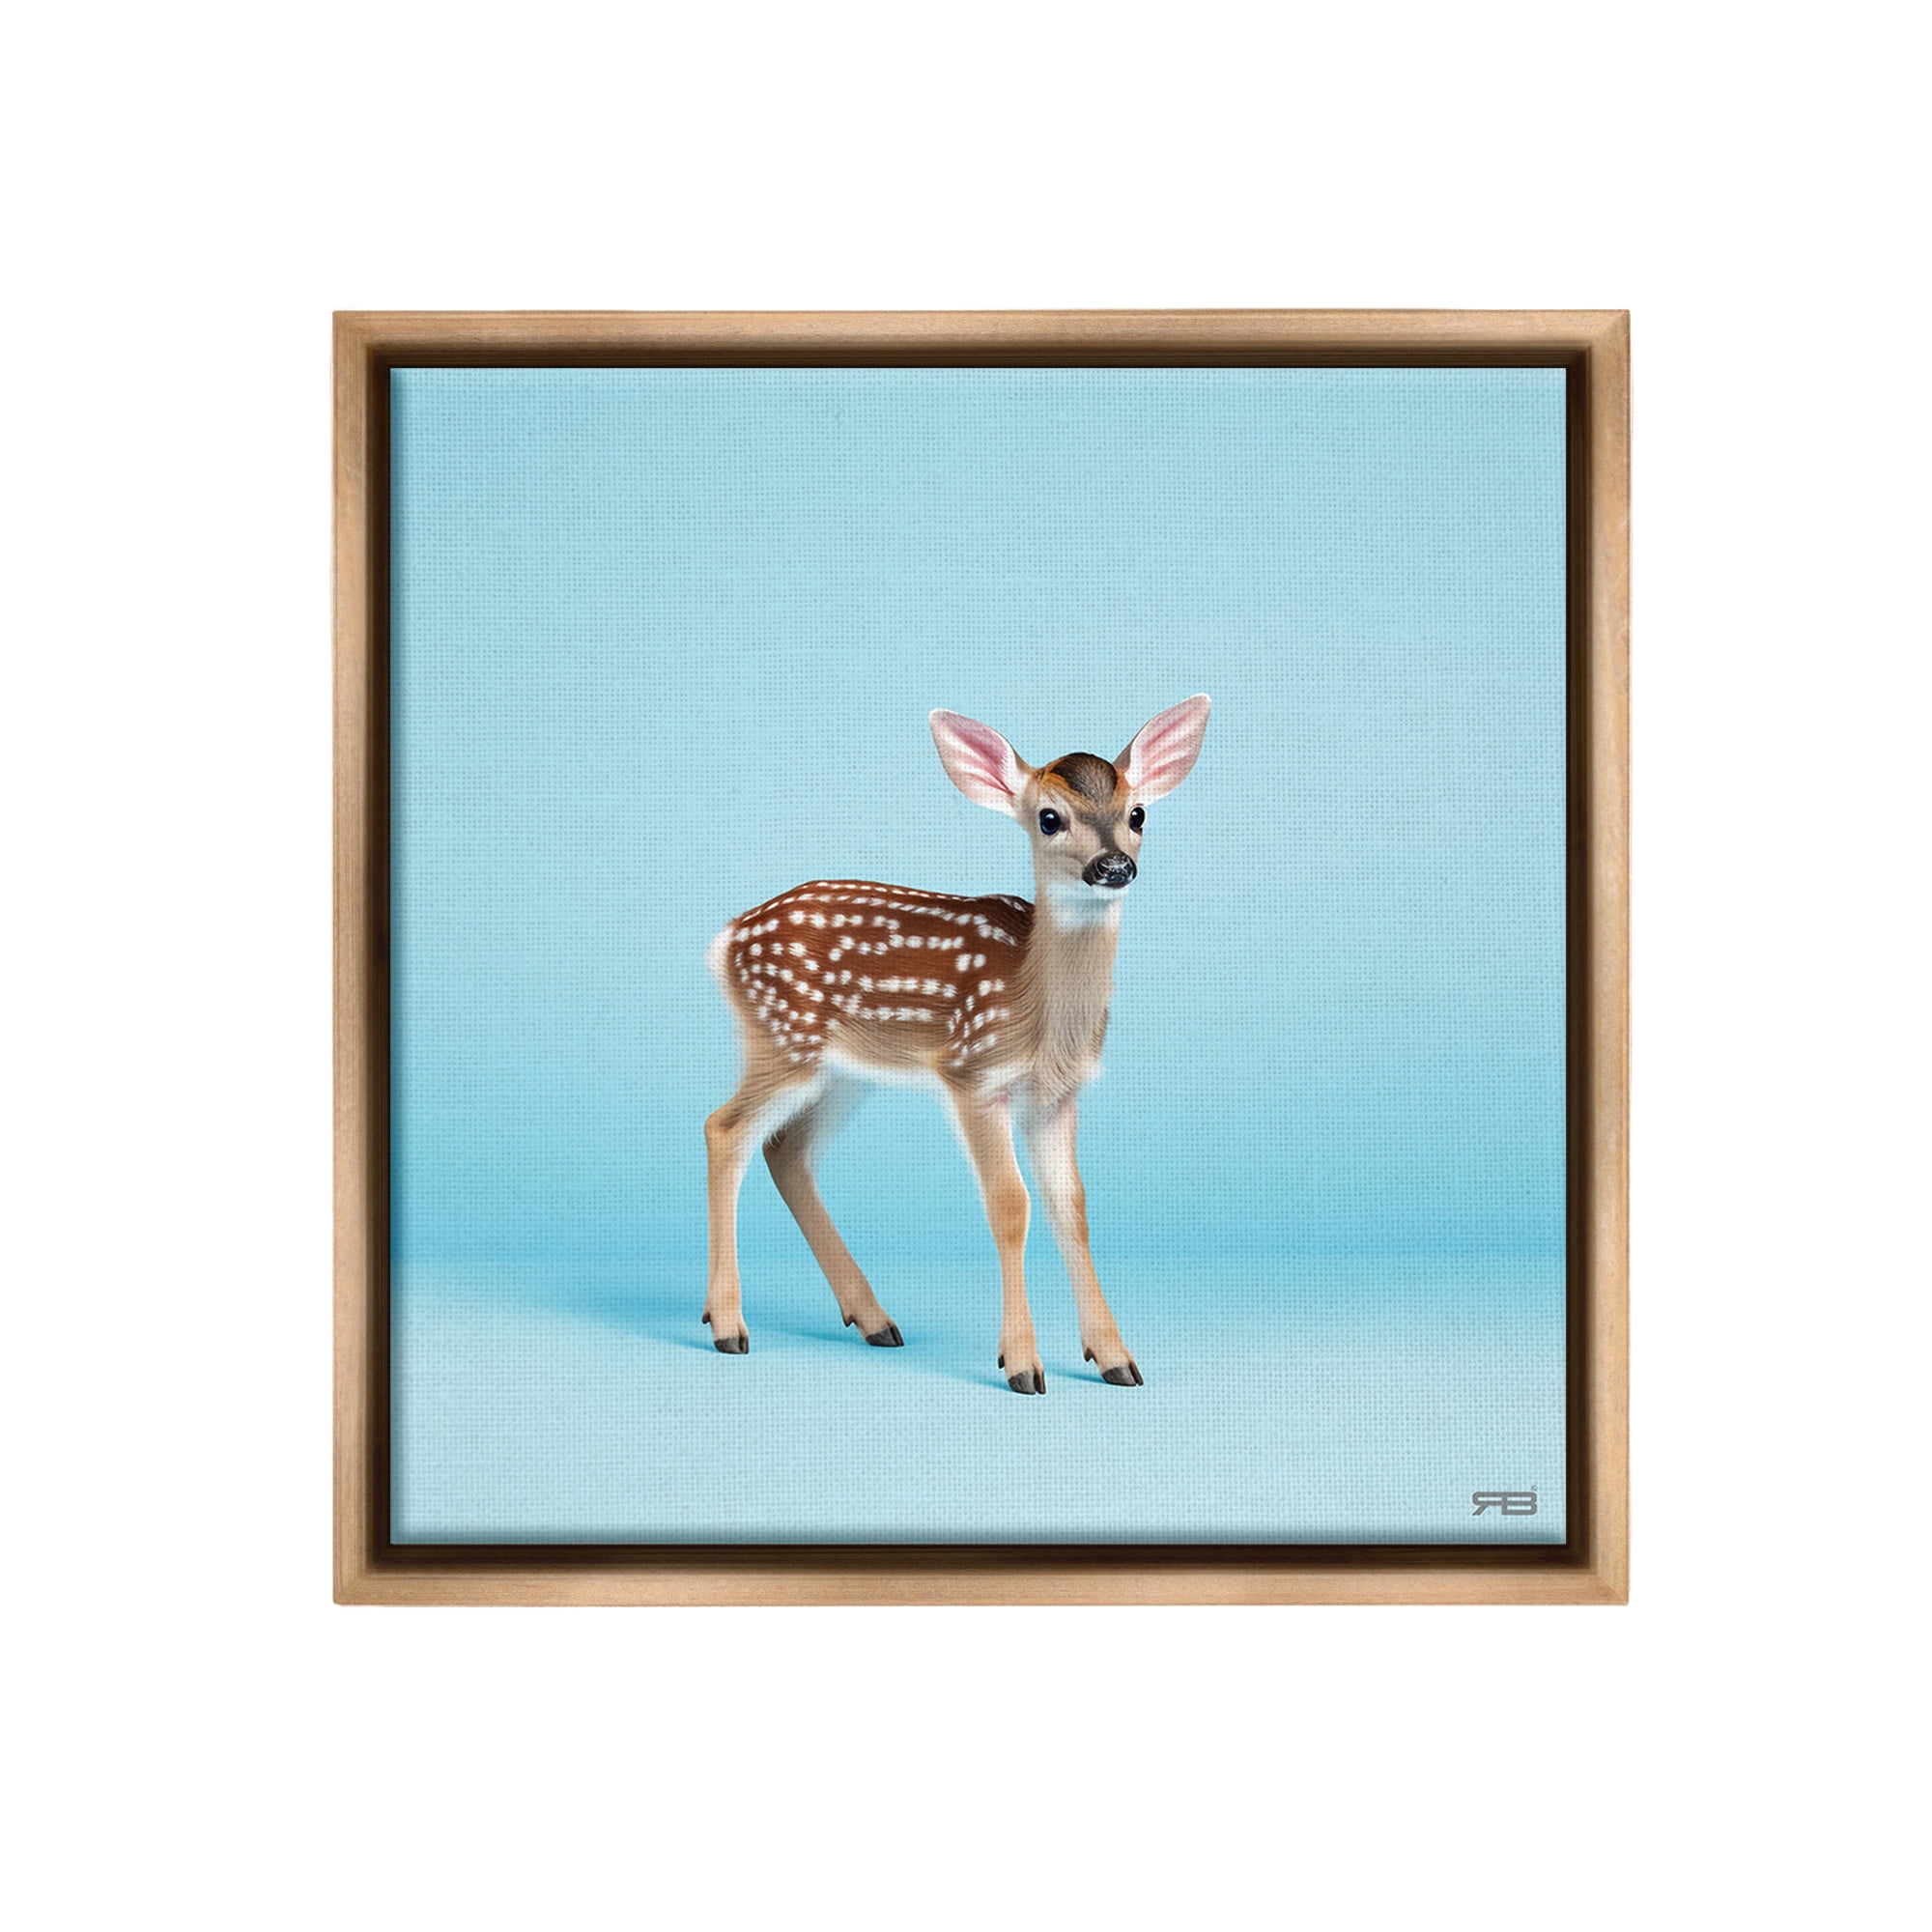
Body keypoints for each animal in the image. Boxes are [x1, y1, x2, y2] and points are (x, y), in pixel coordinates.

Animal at [701, 696, 1211, 1394]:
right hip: (783, 1039)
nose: (1113, 867)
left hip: (844, 1071)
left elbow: (1071, 1207)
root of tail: (725, 938)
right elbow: (1010, 1205)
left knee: (786, 1150)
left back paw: (874, 1320)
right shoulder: (974, 1073)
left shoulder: (1057, 1095)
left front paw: (1115, 1358)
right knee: (724, 1130)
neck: (1038, 1011)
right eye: (1049, 818)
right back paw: (728, 1326)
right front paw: (1022, 1363)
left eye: (1138, 813)